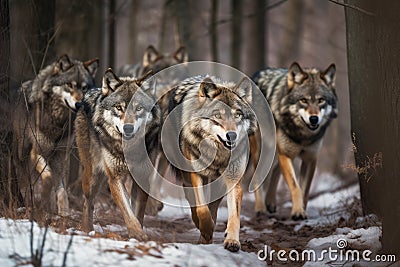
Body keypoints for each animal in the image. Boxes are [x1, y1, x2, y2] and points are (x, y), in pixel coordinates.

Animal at [14, 54, 99, 218]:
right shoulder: (37, 152)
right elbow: (48, 178)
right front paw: (42, 202)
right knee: (24, 179)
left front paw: (64, 213)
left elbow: (61, 190)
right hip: (22, 154)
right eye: (69, 85)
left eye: (84, 88)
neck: (57, 121)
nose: (79, 104)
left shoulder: (60, 155)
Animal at [76, 68, 160, 241]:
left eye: (138, 108)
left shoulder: (142, 177)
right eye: (119, 107)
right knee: (88, 202)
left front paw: (137, 232)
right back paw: (87, 230)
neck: (128, 150)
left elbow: (136, 211)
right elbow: (127, 211)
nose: (128, 128)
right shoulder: (115, 178)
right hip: (93, 176)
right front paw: (137, 233)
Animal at [161, 76, 258, 253]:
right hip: (187, 177)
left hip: (218, 184)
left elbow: (234, 215)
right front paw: (206, 230)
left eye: (238, 115)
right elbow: (201, 209)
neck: (218, 154)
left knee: (213, 206)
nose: (232, 135)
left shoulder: (233, 180)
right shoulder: (196, 176)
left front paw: (232, 241)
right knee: (194, 202)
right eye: (217, 115)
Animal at [253, 62, 338, 220]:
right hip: (262, 153)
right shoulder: (286, 155)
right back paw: (260, 208)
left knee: (275, 169)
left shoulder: (310, 158)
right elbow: (295, 186)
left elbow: (305, 189)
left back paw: (270, 202)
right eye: (303, 100)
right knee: (258, 177)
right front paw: (297, 212)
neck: (304, 136)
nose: (314, 119)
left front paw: (302, 210)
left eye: (321, 100)